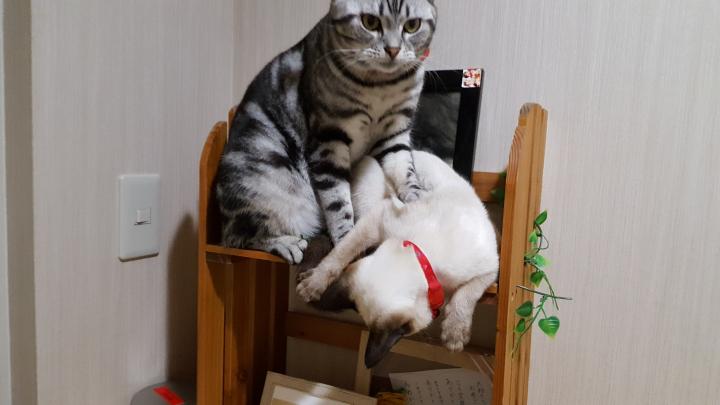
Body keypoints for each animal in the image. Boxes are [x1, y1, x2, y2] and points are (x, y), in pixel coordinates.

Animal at [216, 0, 438, 264]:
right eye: (370, 22)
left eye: (412, 25)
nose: (393, 50)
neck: (381, 85)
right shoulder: (329, 140)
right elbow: (337, 202)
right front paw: (345, 242)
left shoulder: (395, 131)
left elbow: (405, 168)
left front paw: (416, 199)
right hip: (263, 181)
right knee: (240, 237)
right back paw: (286, 244)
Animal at [296, 151, 499, 367]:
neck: (425, 260)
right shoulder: (375, 221)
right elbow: (338, 256)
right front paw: (313, 284)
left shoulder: (490, 270)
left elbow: (465, 297)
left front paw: (454, 335)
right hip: (370, 184)